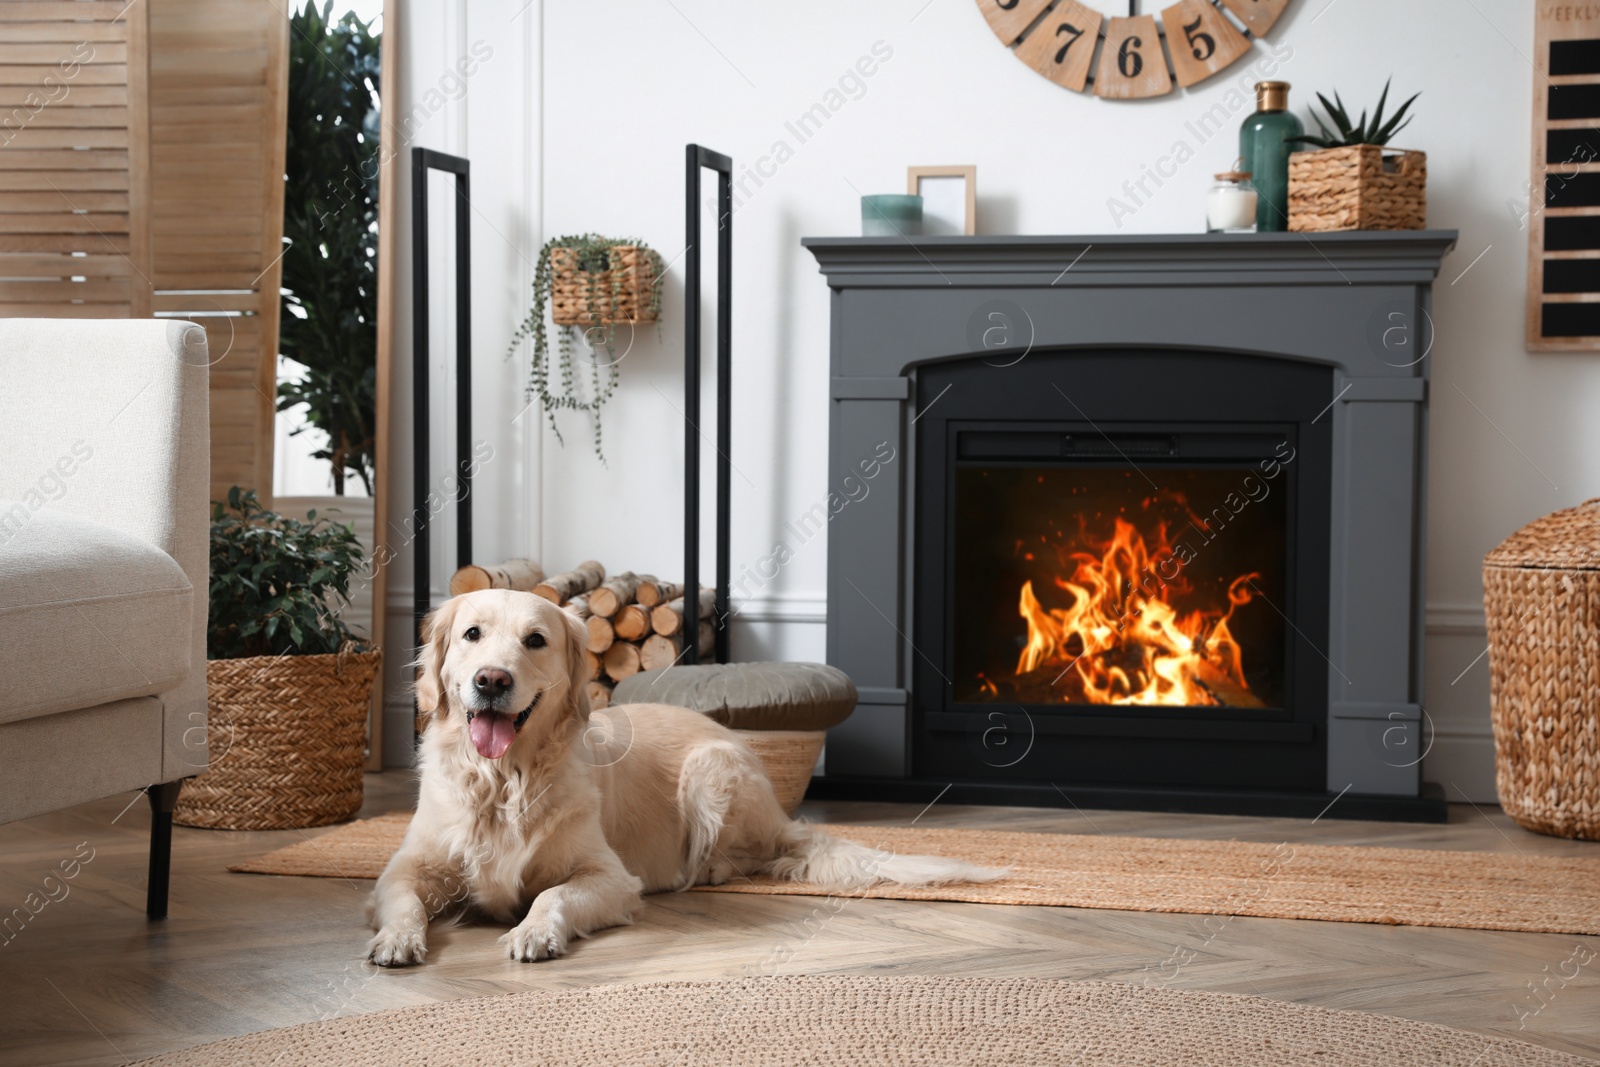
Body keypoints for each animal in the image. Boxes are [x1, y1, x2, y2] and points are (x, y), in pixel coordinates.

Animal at [369, 588, 998, 966]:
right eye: (472, 635)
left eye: (536, 640)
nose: (492, 681)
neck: (503, 781)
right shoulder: (404, 869)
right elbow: (401, 901)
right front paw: (396, 939)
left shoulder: (610, 877)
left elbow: (551, 894)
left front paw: (533, 931)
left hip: (711, 769)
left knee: (744, 855)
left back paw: (709, 867)